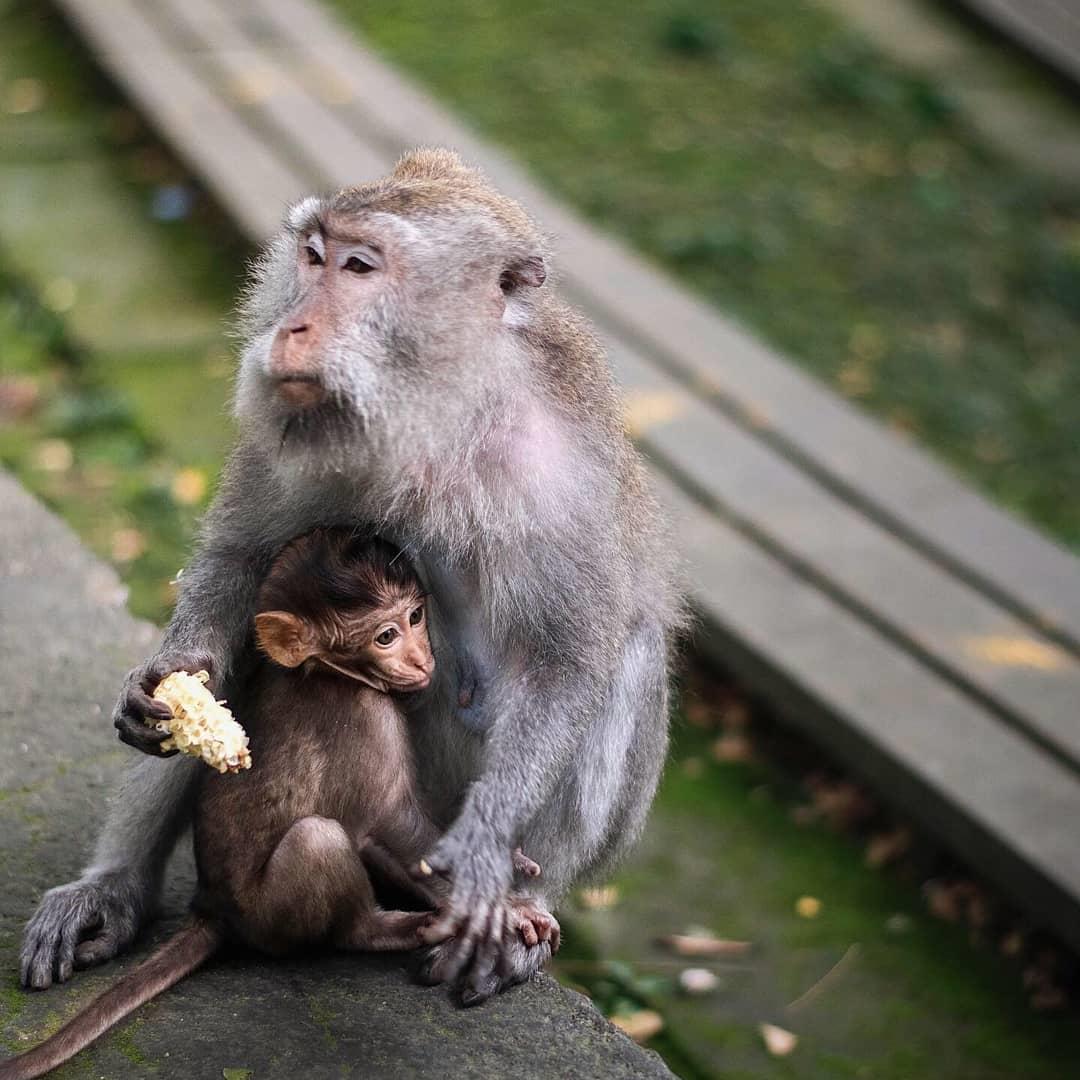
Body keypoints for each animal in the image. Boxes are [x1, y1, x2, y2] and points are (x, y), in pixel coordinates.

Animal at [1, 529, 557, 1079]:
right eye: (385, 636)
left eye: (416, 617)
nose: (423, 659)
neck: (332, 673)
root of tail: (213, 908)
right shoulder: (366, 718)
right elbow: (388, 822)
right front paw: (501, 904)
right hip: (270, 911)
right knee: (318, 840)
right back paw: (384, 929)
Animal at [19, 148, 684, 1007]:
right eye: (312, 254)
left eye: (360, 266)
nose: (290, 327)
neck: (439, 414)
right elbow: (239, 562)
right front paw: (160, 678)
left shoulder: (561, 473)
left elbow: (567, 660)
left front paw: (487, 837)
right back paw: (115, 890)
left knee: (630, 658)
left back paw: (523, 915)